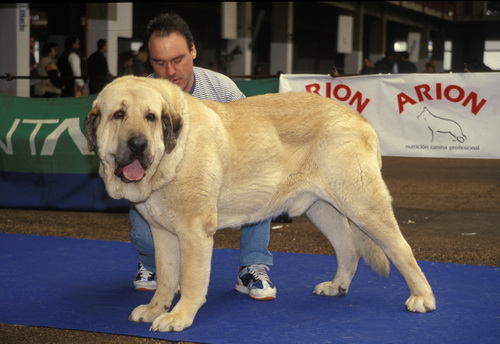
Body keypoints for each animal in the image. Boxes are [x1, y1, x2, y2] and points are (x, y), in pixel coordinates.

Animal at [84, 75, 436, 330]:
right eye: (118, 115)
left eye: (151, 118)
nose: (138, 144)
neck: (171, 156)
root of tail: (360, 118)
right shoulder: (163, 233)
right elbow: (168, 279)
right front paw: (155, 308)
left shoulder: (195, 232)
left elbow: (191, 279)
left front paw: (179, 316)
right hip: (323, 210)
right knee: (348, 249)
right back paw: (336, 286)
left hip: (364, 205)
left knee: (401, 249)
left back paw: (422, 297)